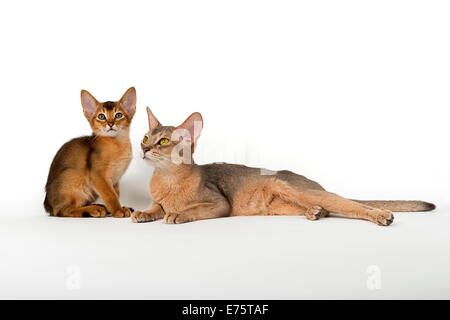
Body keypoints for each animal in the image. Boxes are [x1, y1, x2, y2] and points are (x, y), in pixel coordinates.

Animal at [45, 87, 137, 218]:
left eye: (118, 115)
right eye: (101, 116)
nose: (110, 123)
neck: (118, 144)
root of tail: (47, 205)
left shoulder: (115, 180)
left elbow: (116, 194)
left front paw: (117, 208)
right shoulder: (98, 176)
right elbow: (110, 196)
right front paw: (118, 210)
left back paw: (101, 207)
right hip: (73, 176)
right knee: (63, 211)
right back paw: (93, 210)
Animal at [131, 109, 436, 226]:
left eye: (163, 141)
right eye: (146, 137)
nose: (144, 149)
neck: (167, 178)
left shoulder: (219, 204)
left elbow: (189, 210)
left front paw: (176, 214)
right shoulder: (158, 199)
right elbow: (156, 207)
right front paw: (143, 214)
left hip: (292, 186)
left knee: (347, 203)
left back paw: (382, 215)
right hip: (281, 203)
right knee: (327, 206)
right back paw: (315, 212)